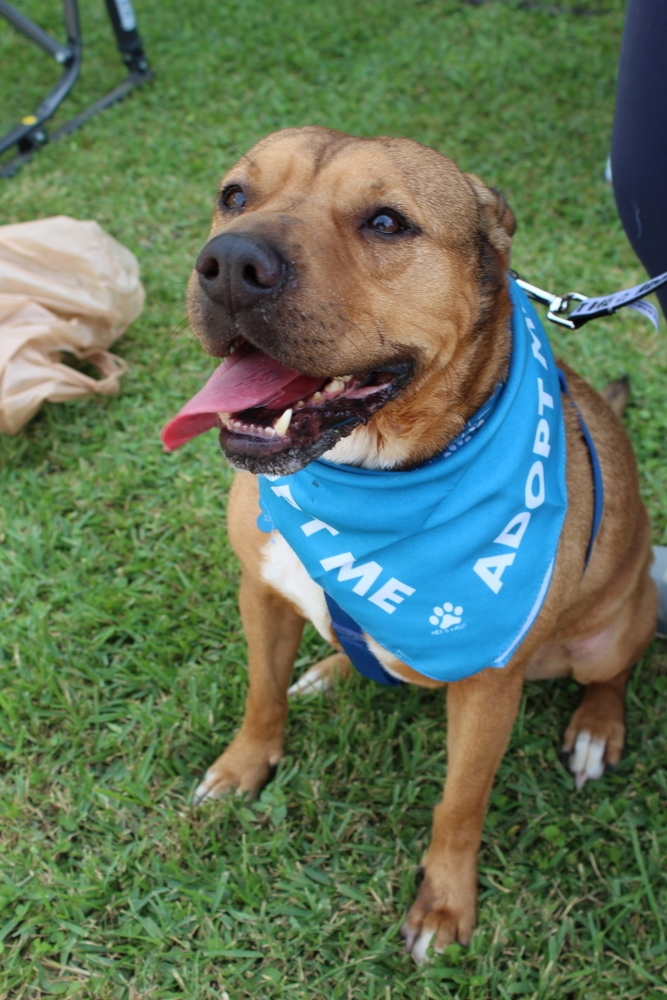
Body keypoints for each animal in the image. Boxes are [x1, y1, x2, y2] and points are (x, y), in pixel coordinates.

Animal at [162, 125, 656, 960]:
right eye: (233, 196)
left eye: (386, 222)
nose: (229, 263)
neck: (364, 480)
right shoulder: (261, 591)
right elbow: (261, 695)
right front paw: (242, 767)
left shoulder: (489, 688)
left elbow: (460, 803)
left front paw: (443, 904)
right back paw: (332, 668)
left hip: (613, 629)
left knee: (612, 673)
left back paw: (595, 728)